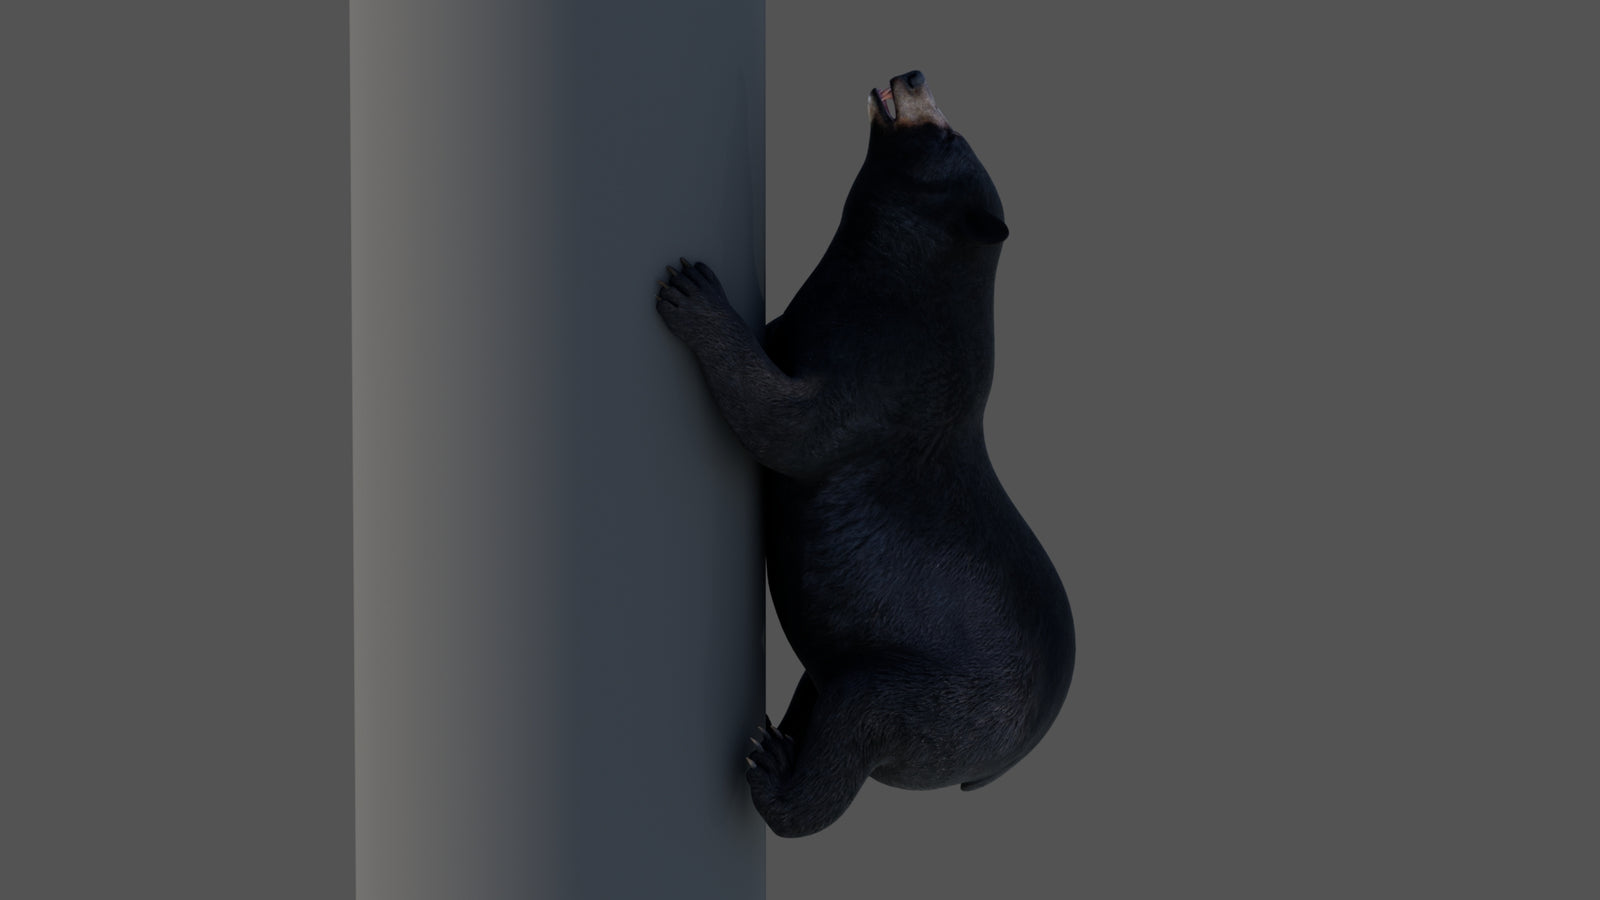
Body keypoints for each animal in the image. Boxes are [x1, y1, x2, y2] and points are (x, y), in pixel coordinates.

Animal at [655, 70, 1074, 838]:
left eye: (946, 134)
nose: (912, 74)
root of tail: (1006, 762)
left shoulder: (883, 378)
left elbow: (787, 424)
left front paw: (693, 291)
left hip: (938, 695)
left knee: (859, 724)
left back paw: (772, 767)